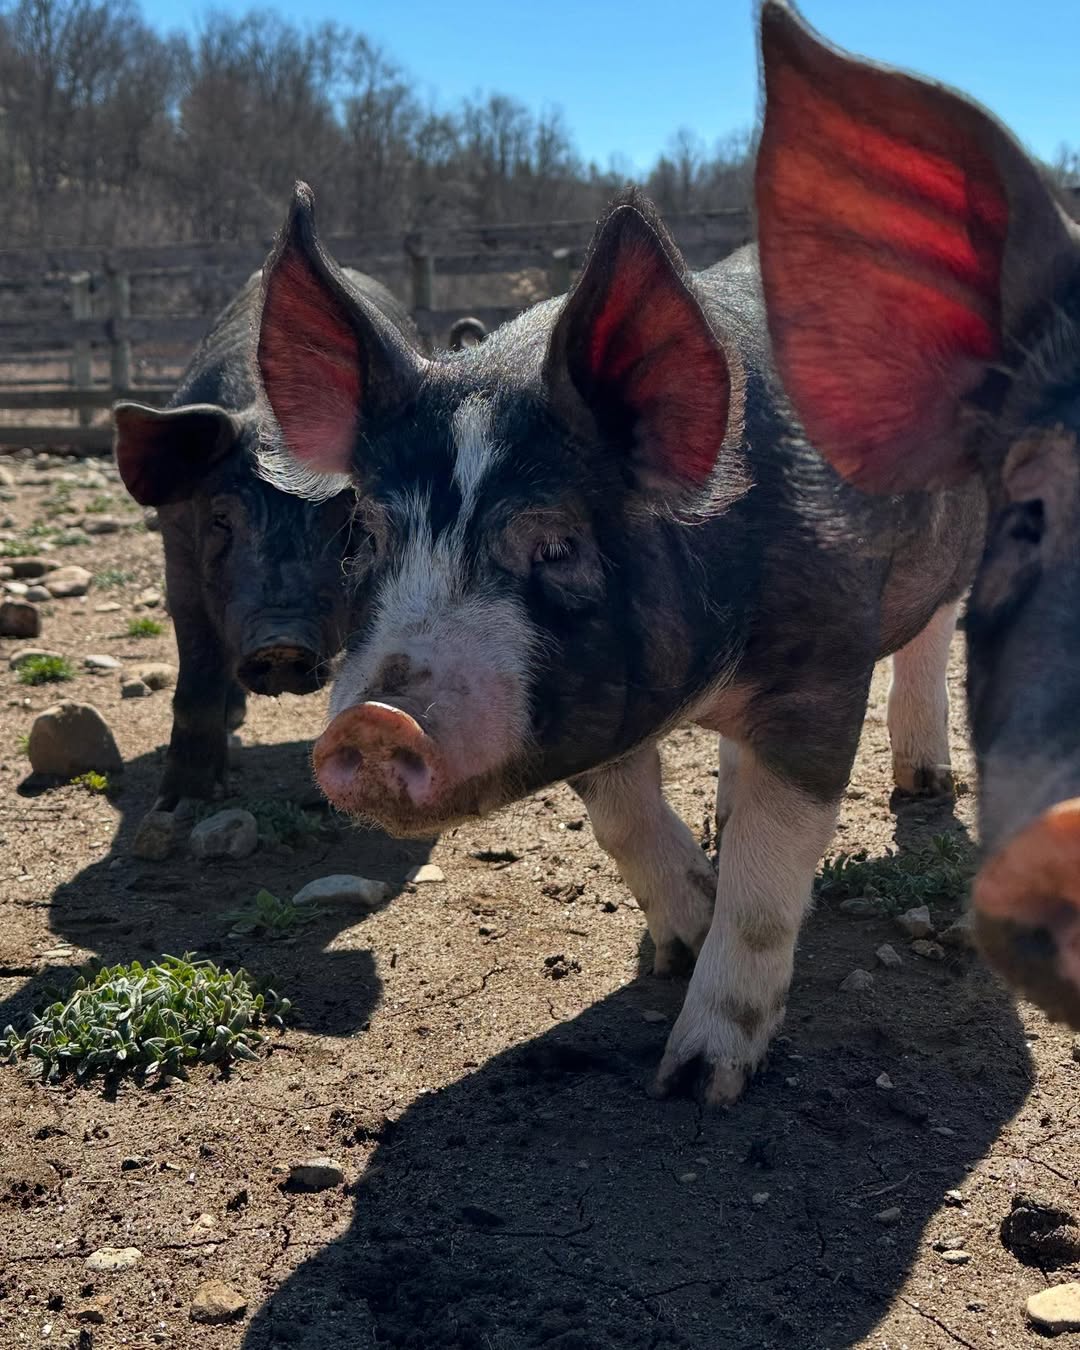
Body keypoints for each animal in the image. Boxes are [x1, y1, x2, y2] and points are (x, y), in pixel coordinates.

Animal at [113, 267, 419, 810]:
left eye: (348, 520)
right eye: (221, 519)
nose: (281, 642)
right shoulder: (179, 557)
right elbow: (196, 680)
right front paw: (180, 804)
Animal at [252, 181, 982, 1104]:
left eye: (557, 544)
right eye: (370, 536)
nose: (378, 720)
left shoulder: (824, 665)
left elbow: (770, 870)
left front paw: (697, 1083)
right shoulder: (589, 702)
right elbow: (623, 820)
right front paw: (681, 939)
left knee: (937, 628)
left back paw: (927, 787)